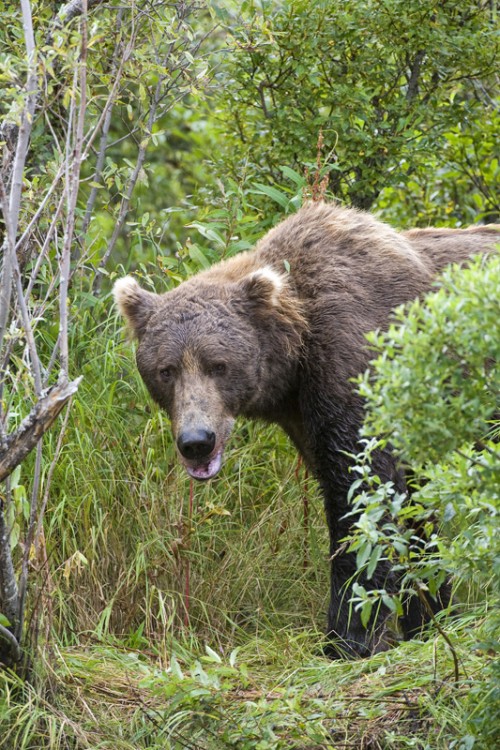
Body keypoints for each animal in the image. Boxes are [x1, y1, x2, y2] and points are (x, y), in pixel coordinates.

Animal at [114, 201, 500, 656]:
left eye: (218, 364)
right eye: (167, 370)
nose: (196, 442)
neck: (295, 351)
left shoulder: (358, 360)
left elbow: (359, 493)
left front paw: (347, 635)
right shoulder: (304, 412)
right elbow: (414, 508)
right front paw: (426, 618)